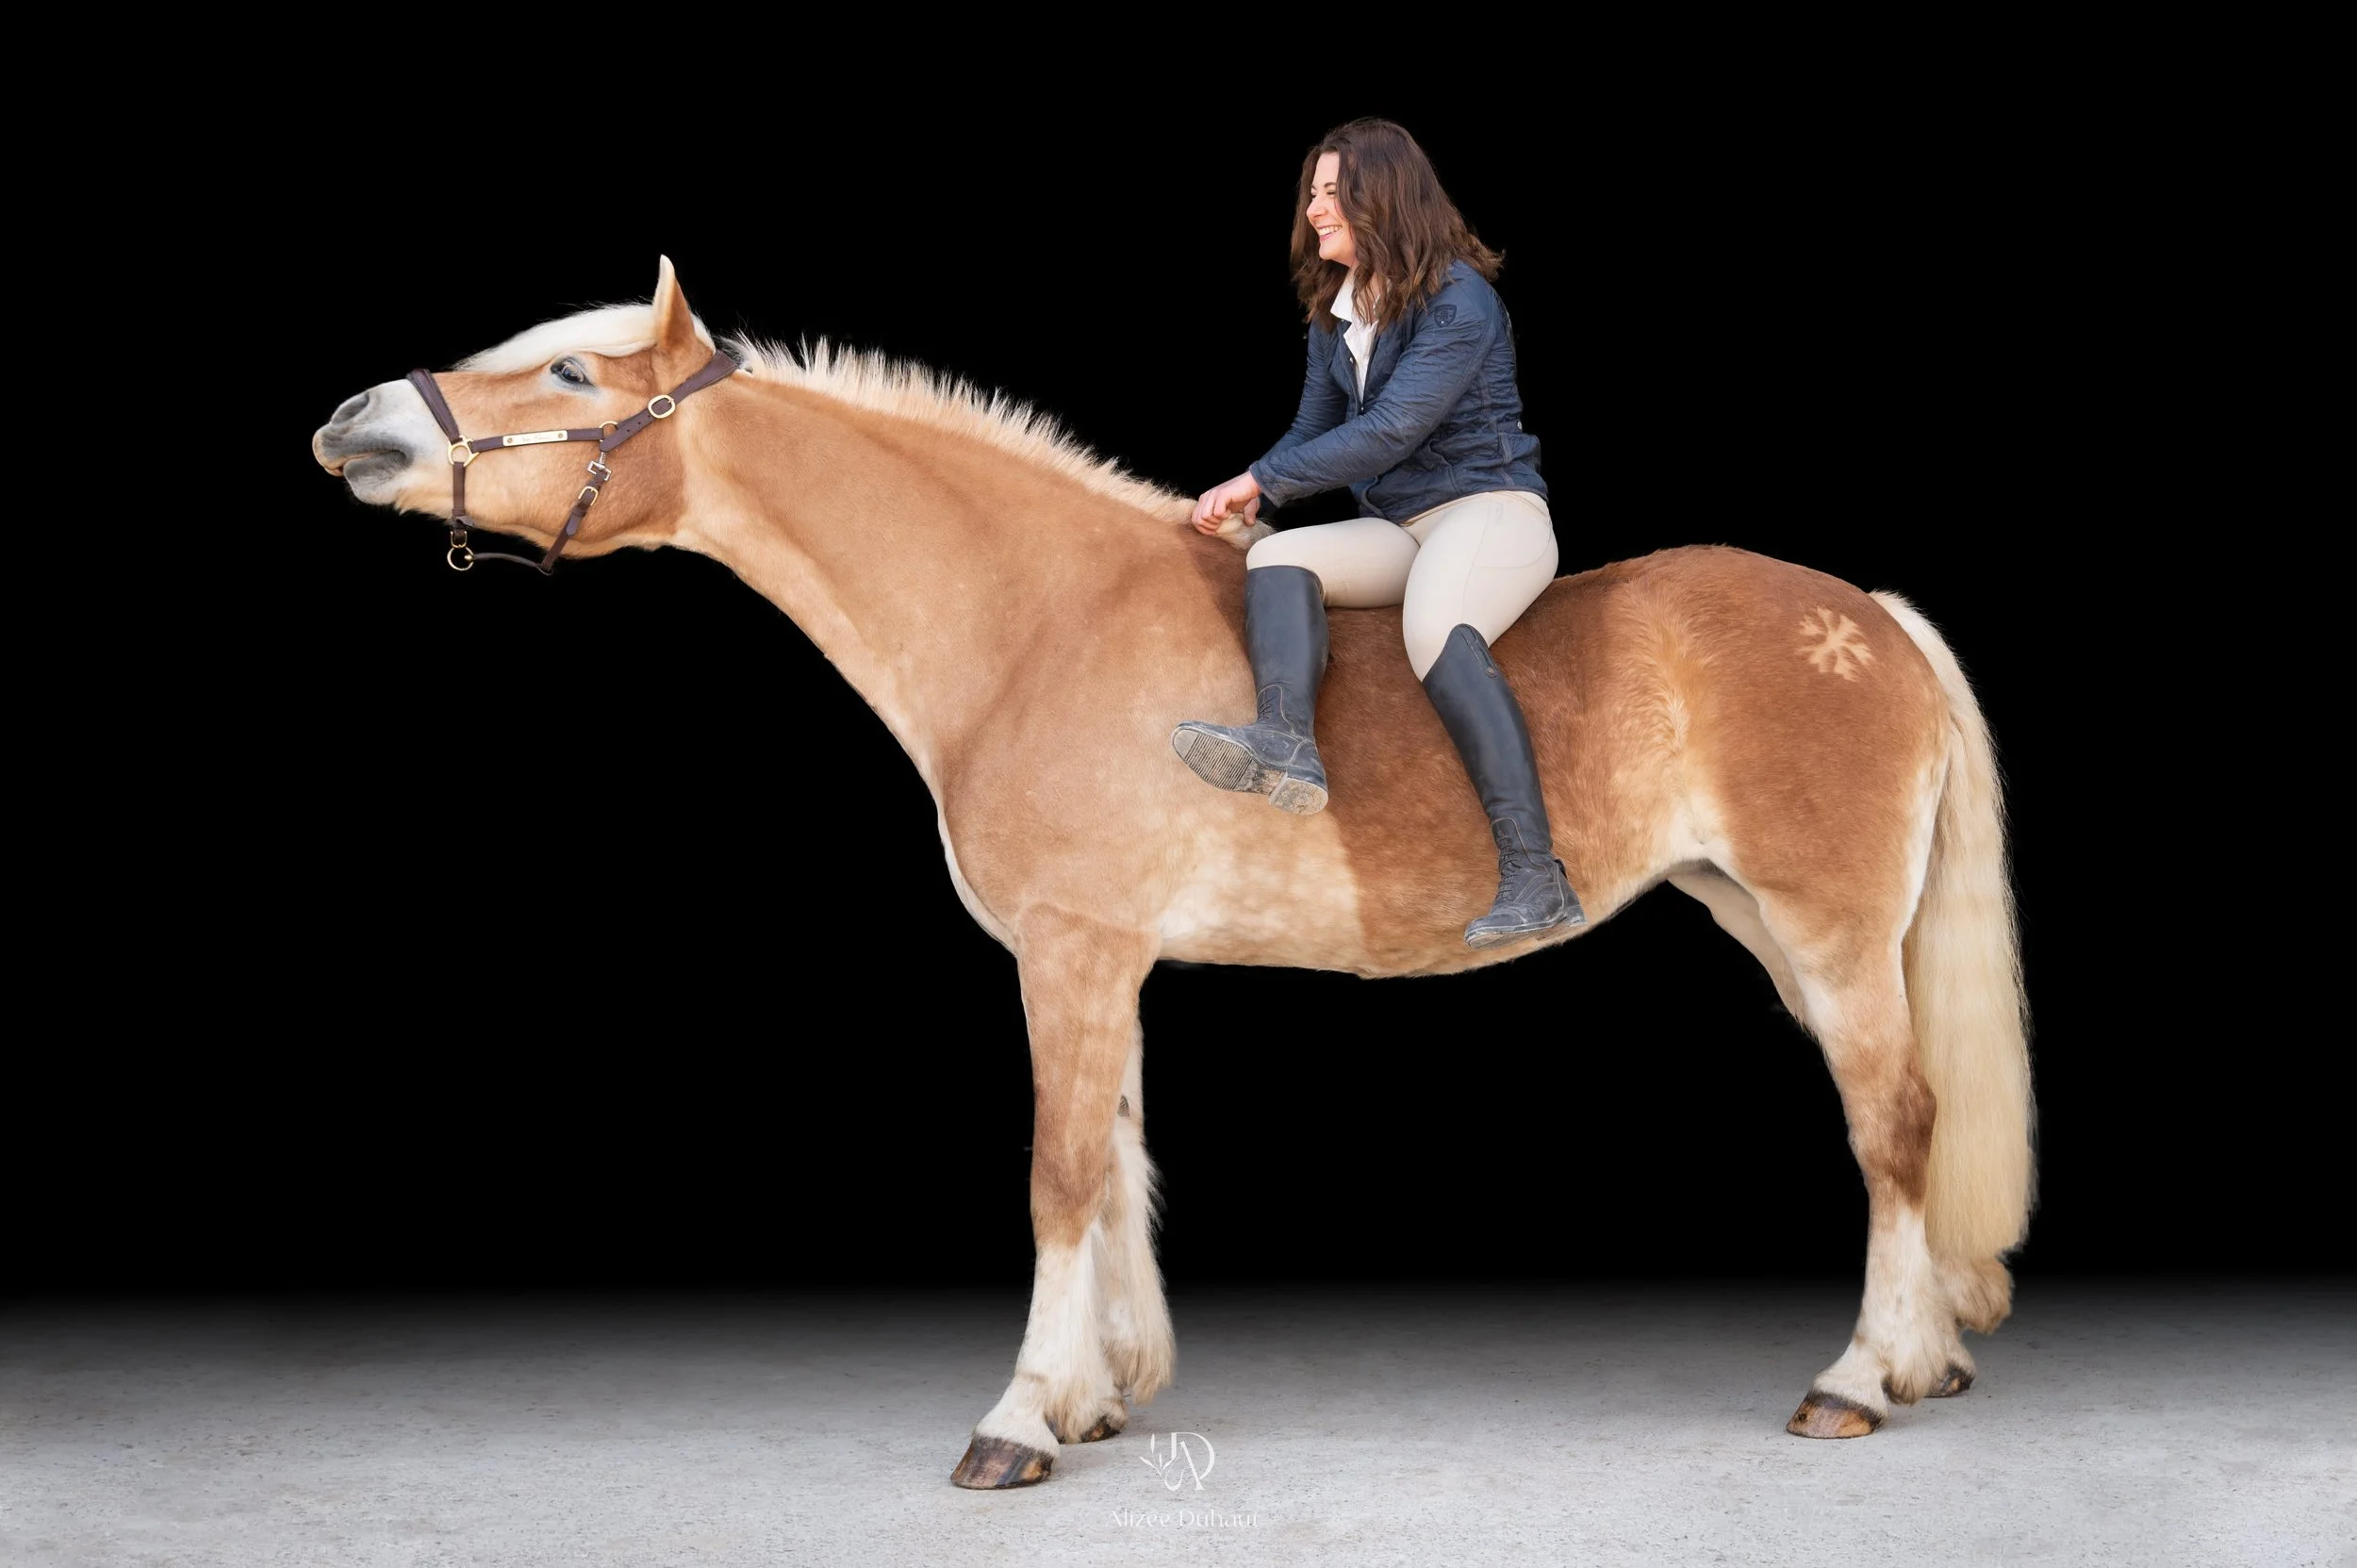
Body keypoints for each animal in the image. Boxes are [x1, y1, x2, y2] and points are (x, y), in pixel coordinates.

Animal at [311, 258, 2034, 1488]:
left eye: (572, 369)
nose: (357, 425)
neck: (1033, 619)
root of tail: (1869, 614)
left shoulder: (1070, 951)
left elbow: (1061, 1172)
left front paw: (1020, 1416)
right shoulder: (1107, 958)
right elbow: (1120, 1165)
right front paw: (1098, 1395)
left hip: (1827, 929)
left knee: (1896, 1120)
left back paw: (1858, 1380)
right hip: (1775, 923)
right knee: (1906, 1122)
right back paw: (1928, 1358)